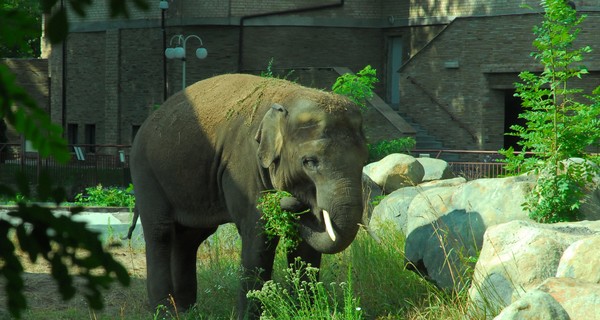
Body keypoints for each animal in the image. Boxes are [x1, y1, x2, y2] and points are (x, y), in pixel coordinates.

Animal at [129, 74, 368, 318]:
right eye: (309, 162)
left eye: (364, 160)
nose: (291, 200)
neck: (288, 100)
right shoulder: (245, 166)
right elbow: (259, 235)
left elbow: (306, 245)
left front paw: (305, 311)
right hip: (145, 173)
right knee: (161, 233)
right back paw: (165, 311)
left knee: (189, 238)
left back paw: (186, 310)